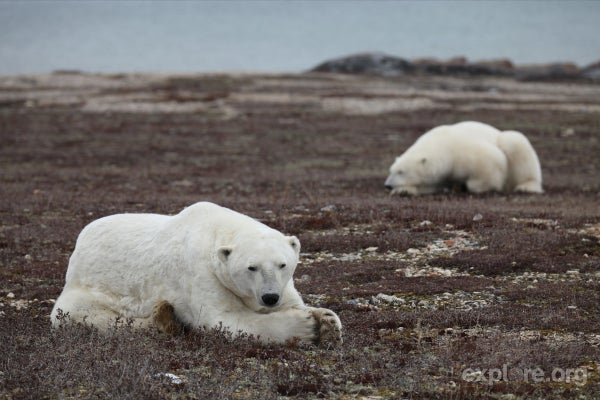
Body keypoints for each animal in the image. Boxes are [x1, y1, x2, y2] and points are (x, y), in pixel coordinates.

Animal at [50, 202, 342, 346]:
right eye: (252, 267)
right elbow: (225, 321)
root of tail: (79, 243)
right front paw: (306, 326)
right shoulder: (201, 275)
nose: (270, 297)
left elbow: (297, 303)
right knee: (82, 316)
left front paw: (327, 321)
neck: (214, 230)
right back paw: (163, 318)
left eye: (282, 265)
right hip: (90, 288)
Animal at [384, 122, 544, 197]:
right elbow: (429, 186)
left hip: (509, 141)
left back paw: (526, 186)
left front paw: (468, 186)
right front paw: (402, 191)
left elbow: (491, 160)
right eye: (391, 170)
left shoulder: (463, 152)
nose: (388, 185)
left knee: (515, 142)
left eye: (401, 171)